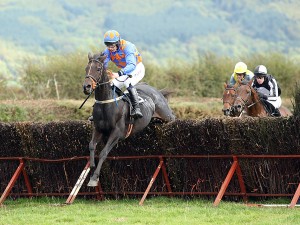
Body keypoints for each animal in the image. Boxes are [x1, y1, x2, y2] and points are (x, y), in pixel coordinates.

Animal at [82, 52, 176, 186]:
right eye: (86, 68)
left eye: (98, 69)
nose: (87, 87)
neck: (107, 104)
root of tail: (157, 91)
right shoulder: (98, 129)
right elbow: (91, 146)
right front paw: (92, 169)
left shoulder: (117, 132)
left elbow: (103, 152)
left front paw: (94, 178)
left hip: (167, 115)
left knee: (173, 117)